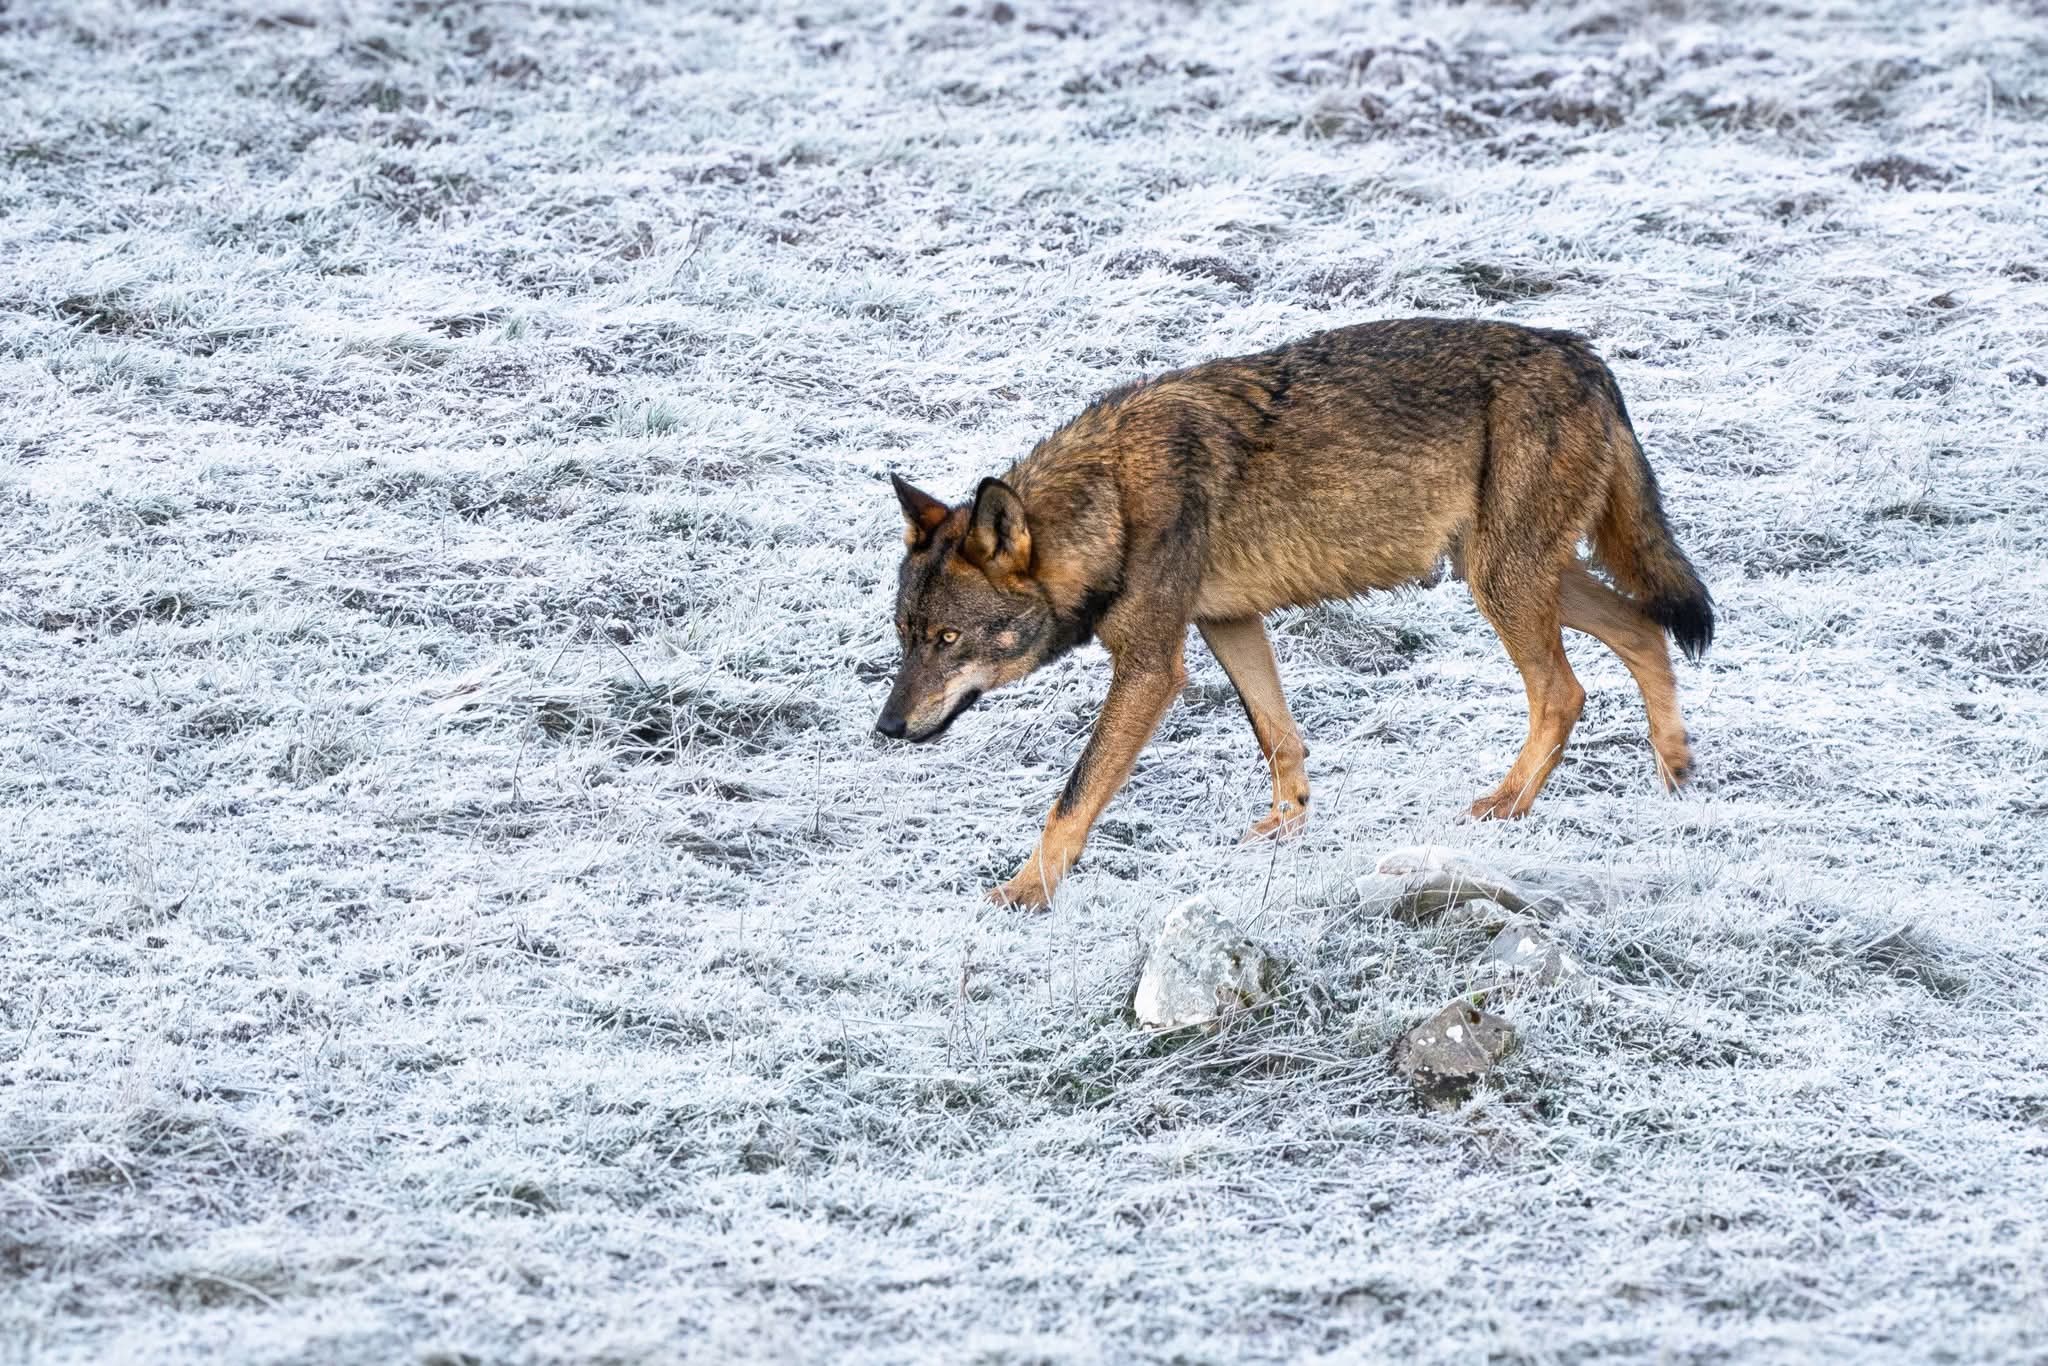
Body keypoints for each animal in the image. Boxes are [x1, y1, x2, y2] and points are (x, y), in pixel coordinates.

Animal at [875, 318, 1714, 909]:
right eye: (906, 637)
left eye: (948, 638)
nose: (886, 728)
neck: (1110, 502)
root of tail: (1586, 357)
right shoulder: (1227, 623)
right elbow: (1278, 735)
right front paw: (1286, 826)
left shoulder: (1150, 668)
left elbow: (1073, 795)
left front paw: (1025, 892)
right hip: (1519, 574)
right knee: (1644, 628)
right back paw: (1674, 772)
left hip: (1502, 584)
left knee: (1564, 692)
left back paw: (1507, 806)